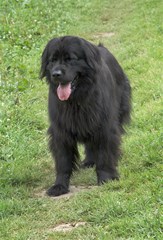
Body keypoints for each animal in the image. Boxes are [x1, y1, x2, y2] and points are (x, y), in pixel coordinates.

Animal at [40, 36, 131, 197]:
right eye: (52, 60)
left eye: (70, 59)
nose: (56, 74)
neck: (76, 100)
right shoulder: (60, 130)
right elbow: (63, 161)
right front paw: (59, 185)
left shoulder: (105, 125)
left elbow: (105, 153)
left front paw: (106, 178)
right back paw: (89, 161)